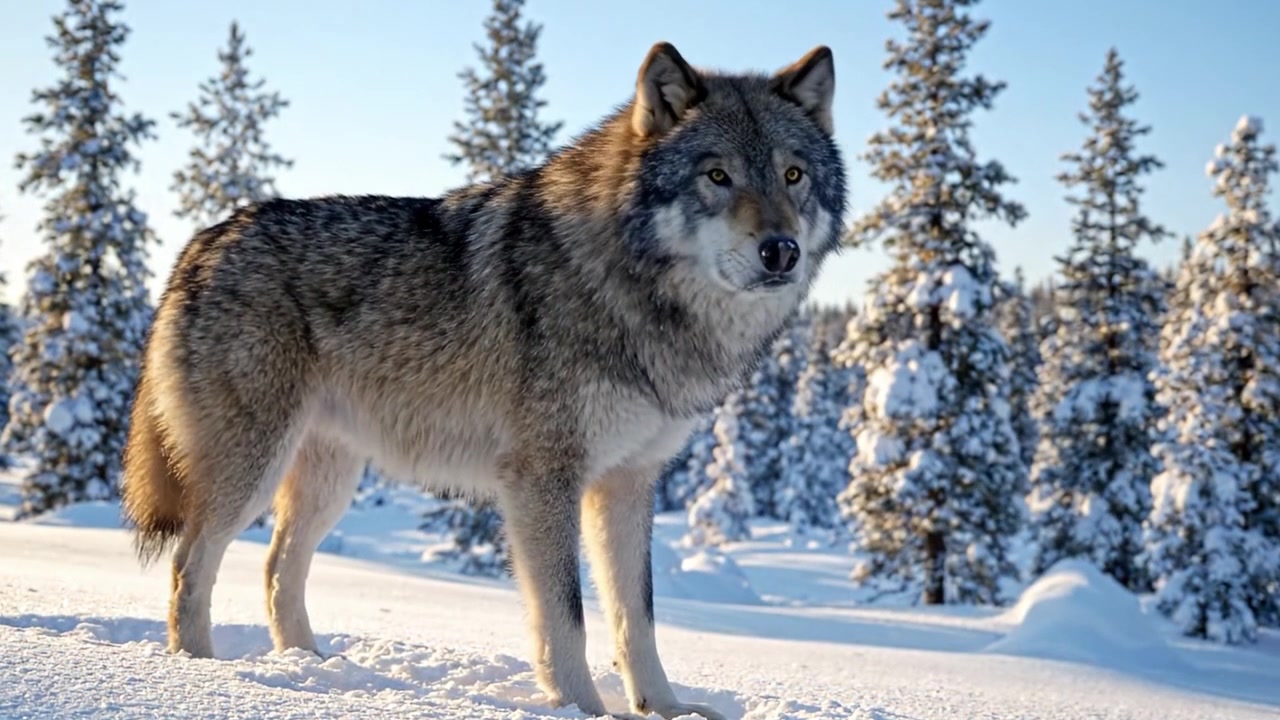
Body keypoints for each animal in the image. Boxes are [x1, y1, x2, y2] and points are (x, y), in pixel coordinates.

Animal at [120, 41, 846, 719]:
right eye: (717, 176)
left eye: (794, 175)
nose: (781, 251)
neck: (630, 287)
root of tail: (203, 241)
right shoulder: (543, 479)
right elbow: (566, 617)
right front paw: (584, 708)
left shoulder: (629, 484)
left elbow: (636, 618)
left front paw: (664, 709)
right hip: (253, 469)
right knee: (190, 563)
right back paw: (206, 674)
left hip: (330, 479)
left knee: (277, 569)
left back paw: (315, 670)